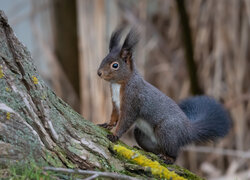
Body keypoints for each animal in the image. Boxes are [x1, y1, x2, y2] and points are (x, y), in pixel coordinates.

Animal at [96, 27, 231, 164]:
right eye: (104, 59)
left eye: (115, 65)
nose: (99, 73)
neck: (118, 84)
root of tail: (188, 130)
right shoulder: (115, 103)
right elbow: (114, 116)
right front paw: (107, 124)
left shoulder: (132, 101)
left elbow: (125, 121)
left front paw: (114, 135)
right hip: (141, 134)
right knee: (158, 148)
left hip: (166, 131)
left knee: (174, 153)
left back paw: (168, 158)